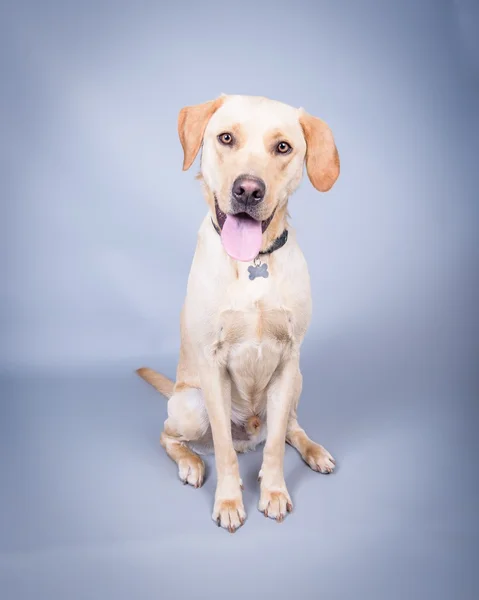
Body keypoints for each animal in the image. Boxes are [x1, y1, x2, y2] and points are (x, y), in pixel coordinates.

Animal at [138, 92, 342, 528]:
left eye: (283, 147)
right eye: (226, 138)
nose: (248, 189)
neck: (253, 263)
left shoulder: (288, 361)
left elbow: (277, 445)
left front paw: (275, 491)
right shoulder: (213, 366)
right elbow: (224, 449)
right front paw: (230, 501)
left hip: (298, 381)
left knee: (288, 430)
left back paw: (313, 450)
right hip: (189, 405)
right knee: (171, 436)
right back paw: (191, 463)